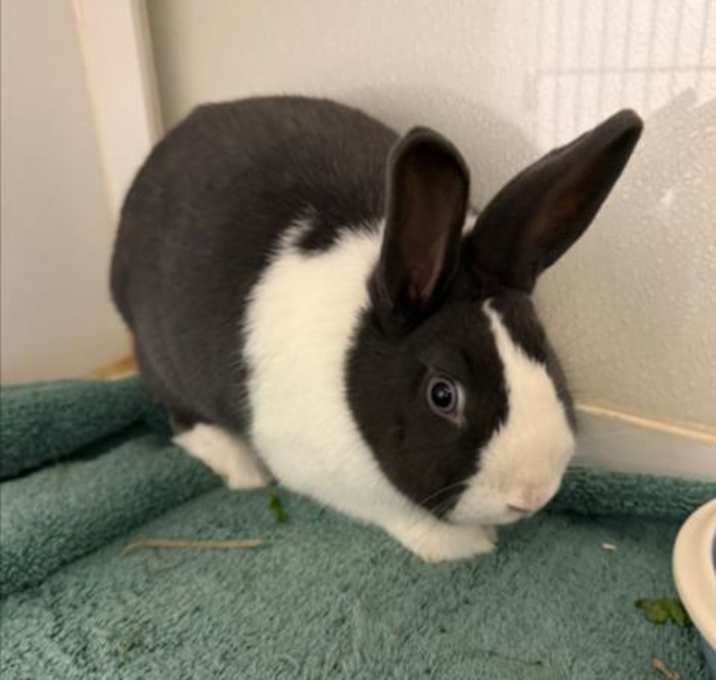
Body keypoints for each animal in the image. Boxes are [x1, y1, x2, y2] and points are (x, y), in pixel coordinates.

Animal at [111, 96, 642, 562]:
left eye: (545, 354)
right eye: (442, 394)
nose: (532, 493)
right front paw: (462, 546)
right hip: (164, 356)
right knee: (182, 416)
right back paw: (244, 470)